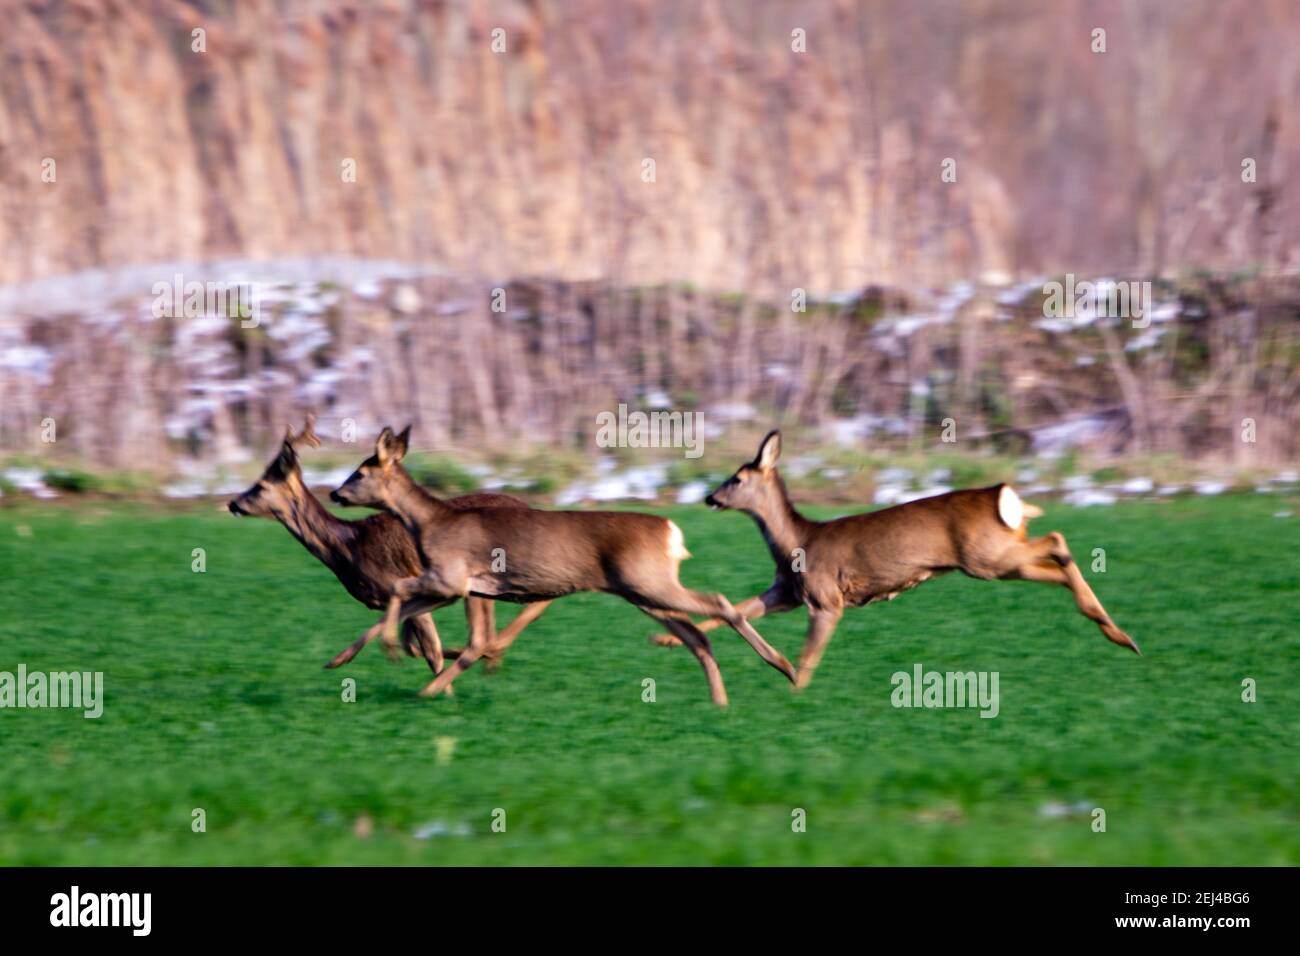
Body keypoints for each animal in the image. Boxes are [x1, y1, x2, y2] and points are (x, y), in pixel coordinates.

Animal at [227, 416, 548, 681]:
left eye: (261, 486)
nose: (233, 503)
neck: (349, 547)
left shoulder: (404, 583)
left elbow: (430, 651)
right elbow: (414, 646)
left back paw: (491, 652)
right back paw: (491, 659)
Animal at [327, 426, 790, 702]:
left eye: (360, 472)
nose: (334, 492)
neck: (429, 522)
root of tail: (670, 529)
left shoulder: (450, 578)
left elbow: (401, 593)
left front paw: (412, 672)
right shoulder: (463, 587)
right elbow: (422, 617)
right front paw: (341, 660)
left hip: (650, 582)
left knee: (718, 603)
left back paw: (780, 666)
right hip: (644, 591)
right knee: (697, 635)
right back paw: (721, 700)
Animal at [655, 431, 1144, 686]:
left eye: (737, 478)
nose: (709, 497)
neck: (797, 541)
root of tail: (1004, 494)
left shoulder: (826, 599)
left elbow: (809, 654)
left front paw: (797, 690)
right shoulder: (787, 591)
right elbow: (739, 608)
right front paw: (666, 640)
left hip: (986, 558)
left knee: (1056, 542)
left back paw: (1118, 634)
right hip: (997, 555)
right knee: (1055, 554)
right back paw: (1117, 633)